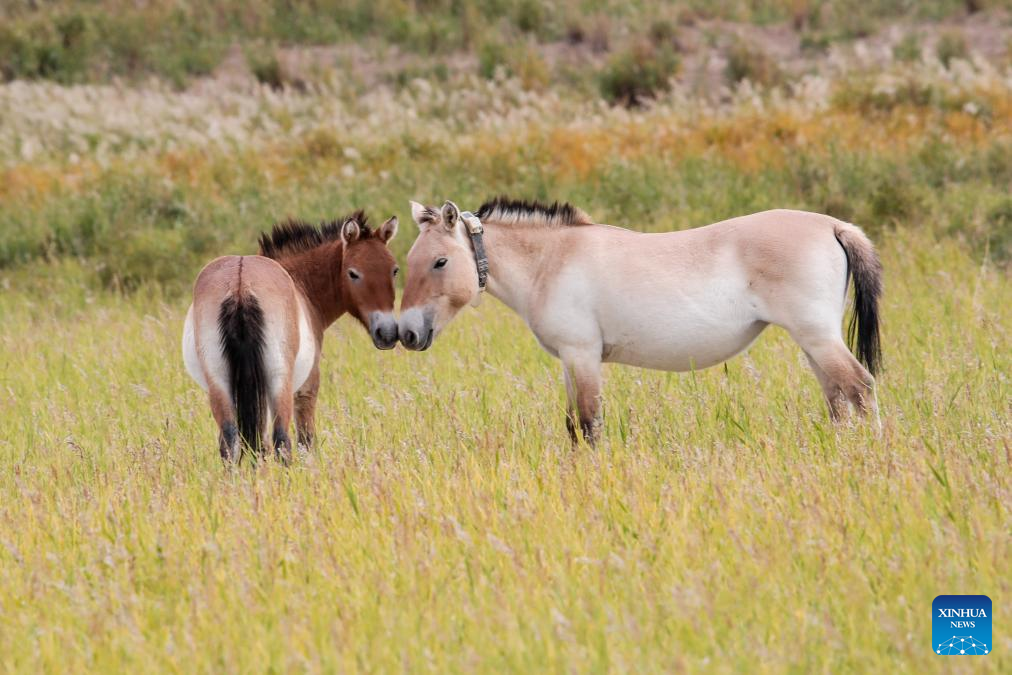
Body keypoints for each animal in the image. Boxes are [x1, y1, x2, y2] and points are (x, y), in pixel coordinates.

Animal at [183, 211, 399, 462]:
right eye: (353, 273)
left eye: (394, 270)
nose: (387, 333)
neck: (300, 282)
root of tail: (240, 284)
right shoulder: (306, 388)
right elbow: (306, 440)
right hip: (280, 383)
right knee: (281, 440)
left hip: (220, 383)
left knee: (230, 442)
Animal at [398, 197, 882, 444]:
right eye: (408, 261)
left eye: (440, 261)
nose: (405, 332)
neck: (552, 260)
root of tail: (835, 226)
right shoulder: (570, 361)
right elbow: (573, 425)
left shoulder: (583, 356)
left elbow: (589, 423)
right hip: (814, 342)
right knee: (838, 398)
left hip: (817, 338)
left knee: (860, 387)